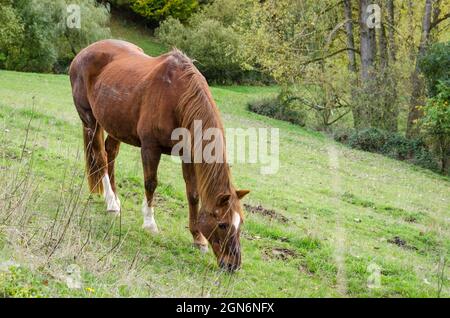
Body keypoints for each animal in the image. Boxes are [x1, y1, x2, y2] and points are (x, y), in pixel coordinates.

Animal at [69, 39, 250, 270]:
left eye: (240, 223)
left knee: (111, 155)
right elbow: (150, 183)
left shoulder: (188, 155)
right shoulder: (150, 148)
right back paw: (111, 204)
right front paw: (149, 223)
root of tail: (84, 52)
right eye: (222, 224)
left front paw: (198, 238)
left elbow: (193, 195)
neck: (177, 97)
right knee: (100, 158)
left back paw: (116, 199)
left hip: (115, 125)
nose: (233, 265)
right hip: (89, 120)